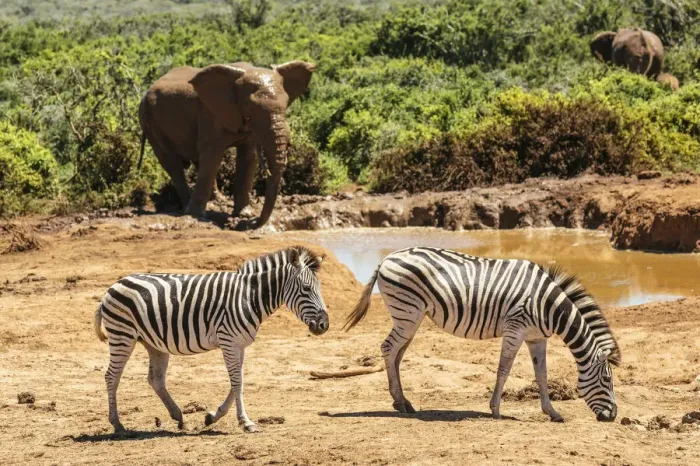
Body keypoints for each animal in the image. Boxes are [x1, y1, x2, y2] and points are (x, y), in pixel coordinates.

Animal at [94, 246, 328, 433]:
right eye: (306, 289)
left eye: (319, 289)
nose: (324, 325)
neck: (249, 297)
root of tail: (113, 286)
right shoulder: (229, 341)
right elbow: (237, 382)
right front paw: (245, 422)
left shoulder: (239, 344)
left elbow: (237, 382)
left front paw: (212, 417)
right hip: (122, 336)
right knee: (111, 377)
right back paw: (118, 424)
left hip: (153, 343)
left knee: (155, 379)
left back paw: (179, 418)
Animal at [138, 60, 316, 228]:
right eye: (250, 109)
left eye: (286, 105)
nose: (253, 223)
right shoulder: (211, 114)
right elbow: (213, 156)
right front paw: (197, 215)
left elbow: (248, 158)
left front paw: (244, 214)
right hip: (149, 120)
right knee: (172, 163)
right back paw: (187, 209)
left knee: (196, 160)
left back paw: (216, 200)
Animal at [344, 247, 620, 422]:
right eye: (607, 380)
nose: (613, 417)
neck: (548, 306)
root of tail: (388, 258)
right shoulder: (515, 329)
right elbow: (503, 370)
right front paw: (495, 410)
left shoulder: (536, 337)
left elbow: (541, 375)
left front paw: (552, 413)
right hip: (407, 313)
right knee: (388, 348)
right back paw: (399, 402)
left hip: (412, 316)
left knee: (397, 354)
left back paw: (404, 402)